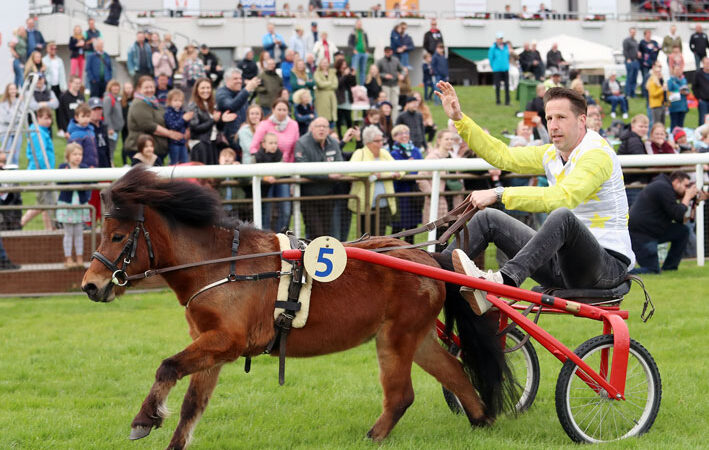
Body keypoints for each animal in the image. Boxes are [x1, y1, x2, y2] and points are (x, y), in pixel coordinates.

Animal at [81, 167, 516, 448]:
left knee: (401, 396)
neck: (223, 264)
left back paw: (374, 435)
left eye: (117, 236)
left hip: (395, 338)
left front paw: (144, 418)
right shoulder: (211, 344)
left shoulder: (227, 340)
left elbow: (167, 366)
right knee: (455, 373)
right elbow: (191, 405)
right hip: (416, 336)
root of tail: (427, 257)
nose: (91, 285)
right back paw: (482, 420)